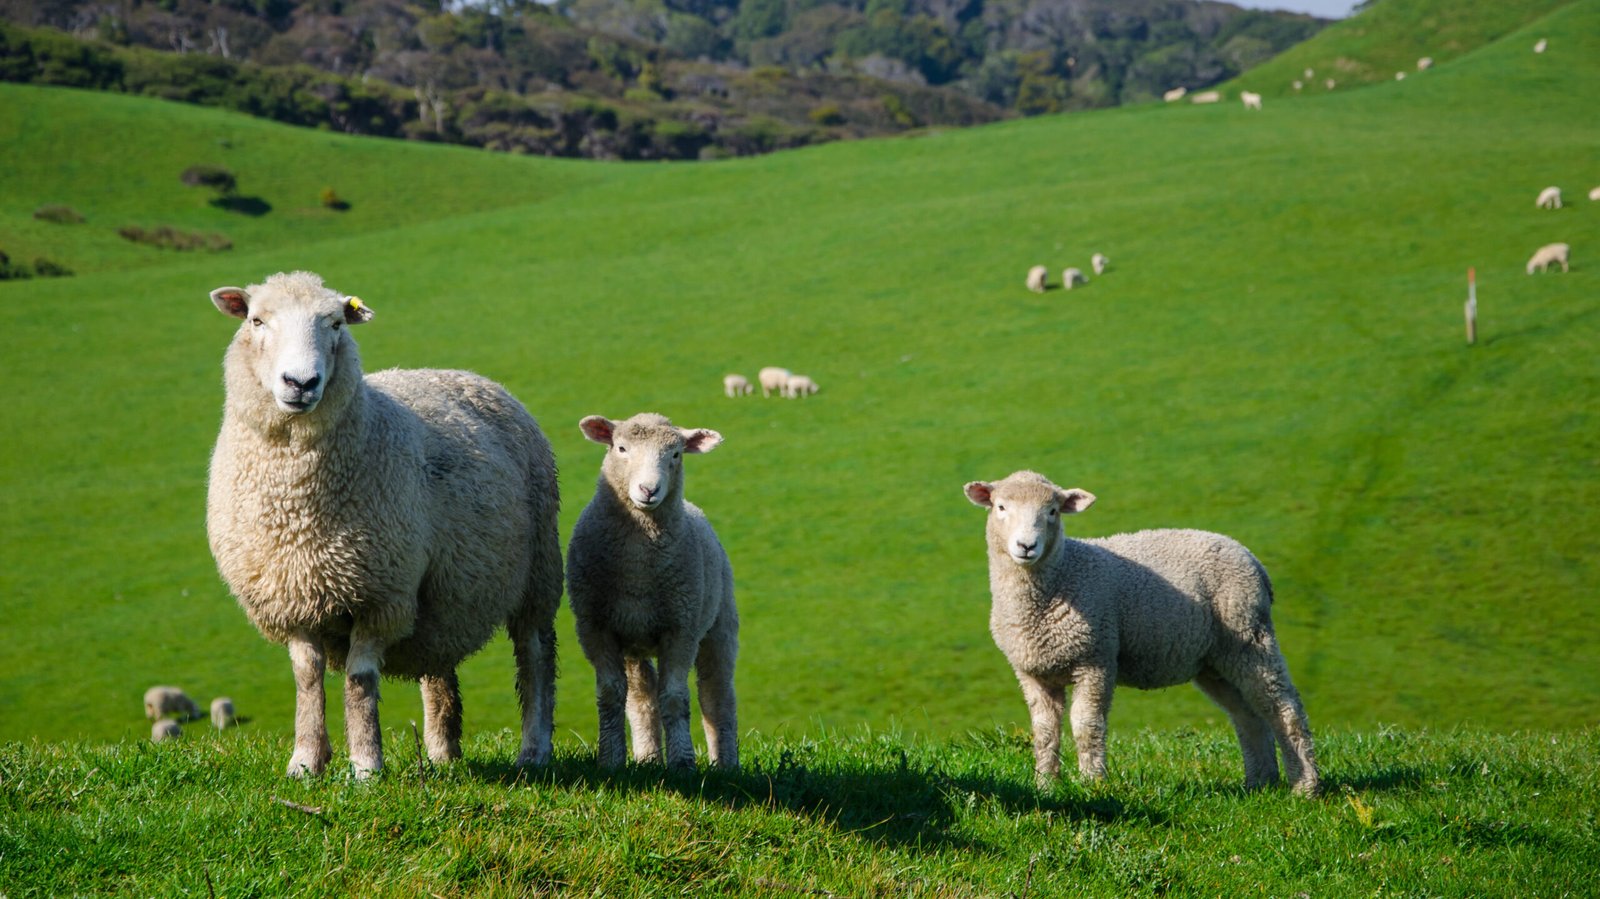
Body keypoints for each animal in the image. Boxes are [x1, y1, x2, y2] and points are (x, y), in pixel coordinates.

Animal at [205, 271, 562, 778]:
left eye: (335, 323)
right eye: (256, 320)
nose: (301, 382)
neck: (296, 505)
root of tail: (467, 375)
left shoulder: (380, 594)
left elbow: (359, 680)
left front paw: (366, 766)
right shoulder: (290, 596)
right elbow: (307, 678)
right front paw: (305, 761)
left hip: (538, 573)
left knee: (535, 657)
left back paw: (534, 749)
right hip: (443, 597)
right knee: (440, 668)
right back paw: (442, 753)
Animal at [567, 413, 739, 771]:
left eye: (675, 454)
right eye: (621, 448)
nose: (649, 490)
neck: (638, 570)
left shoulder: (681, 628)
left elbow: (674, 697)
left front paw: (683, 763)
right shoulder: (595, 626)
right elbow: (611, 694)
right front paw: (610, 760)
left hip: (719, 624)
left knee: (716, 695)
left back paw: (726, 763)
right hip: (635, 641)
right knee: (642, 697)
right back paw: (647, 756)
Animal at [963, 471, 1320, 796]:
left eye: (1052, 511)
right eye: (1000, 507)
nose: (1026, 546)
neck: (1060, 576)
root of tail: (1253, 560)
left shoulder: (1096, 659)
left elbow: (1087, 726)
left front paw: (1093, 784)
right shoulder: (1033, 672)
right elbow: (1044, 732)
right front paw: (1046, 787)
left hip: (1249, 636)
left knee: (1284, 707)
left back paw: (1305, 787)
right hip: (1215, 660)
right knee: (1248, 715)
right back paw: (1259, 783)